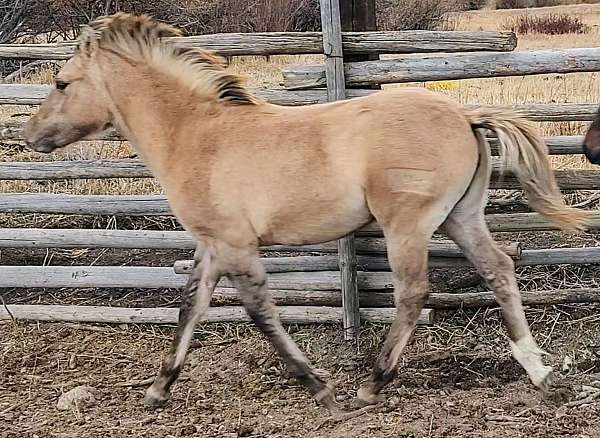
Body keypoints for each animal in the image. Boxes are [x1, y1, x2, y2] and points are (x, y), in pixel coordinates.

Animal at [24, 12, 592, 410]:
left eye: (62, 82)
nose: (30, 136)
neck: (196, 135)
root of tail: (465, 113)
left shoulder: (236, 244)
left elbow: (260, 312)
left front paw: (319, 387)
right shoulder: (211, 244)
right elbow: (190, 306)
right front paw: (158, 390)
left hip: (406, 225)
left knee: (413, 294)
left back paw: (372, 385)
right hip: (461, 217)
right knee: (499, 270)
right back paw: (540, 373)